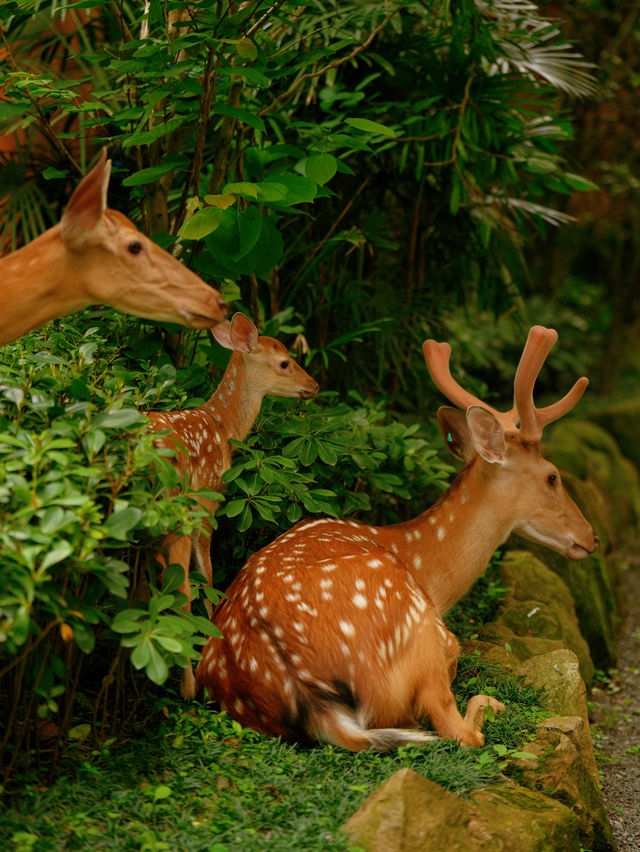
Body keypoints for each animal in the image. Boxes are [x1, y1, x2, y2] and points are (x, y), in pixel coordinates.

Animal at [151, 310, 320, 696]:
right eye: (284, 362)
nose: (314, 385)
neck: (224, 427)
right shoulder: (208, 498)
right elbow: (208, 575)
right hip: (177, 507)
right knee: (181, 587)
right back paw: (190, 685)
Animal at [198, 326, 596, 752]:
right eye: (552, 476)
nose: (591, 537)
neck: (427, 572)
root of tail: (306, 690)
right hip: (418, 638)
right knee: (461, 731)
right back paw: (491, 706)